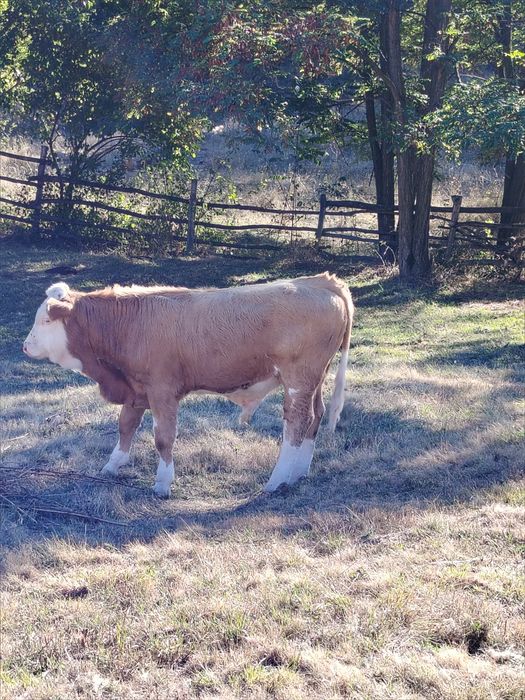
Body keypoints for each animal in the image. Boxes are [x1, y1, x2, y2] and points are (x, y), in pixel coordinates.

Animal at [23, 274, 353, 497]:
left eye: (45, 321)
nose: (25, 346)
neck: (131, 324)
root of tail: (321, 282)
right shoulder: (136, 389)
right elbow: (125, 427)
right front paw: (112, 466)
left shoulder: (162, 390)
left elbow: (163, 438)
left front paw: (162, 483)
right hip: (314, 380)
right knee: (316, 416)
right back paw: (298, 474)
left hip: (298, 379)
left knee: (297, 422)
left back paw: (277, 480)